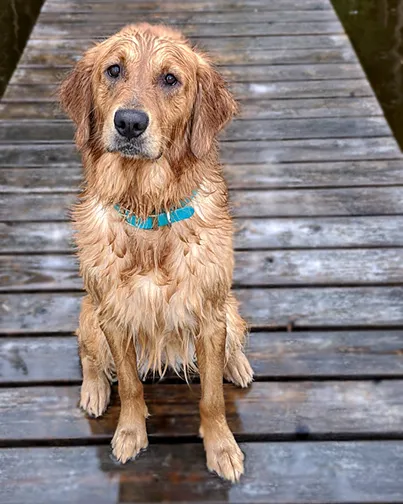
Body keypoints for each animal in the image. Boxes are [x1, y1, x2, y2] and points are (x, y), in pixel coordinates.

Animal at [59, 23, 252, 480]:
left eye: (170, 79)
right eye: (113, 70)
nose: (129, 122)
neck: (148, 209)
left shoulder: (209, 315)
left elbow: (212, 397)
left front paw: (221, 447)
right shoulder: (114, 316)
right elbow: (130, 386)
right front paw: (131, 434)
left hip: (229, 307)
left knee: (235, 339)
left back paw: (237, 363)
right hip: (89, 314)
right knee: (88, 355)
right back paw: (94, 390)